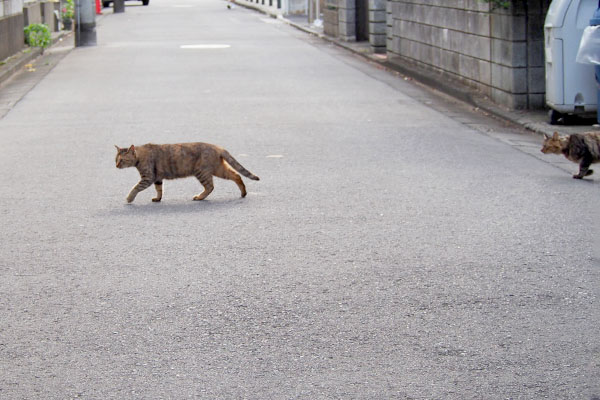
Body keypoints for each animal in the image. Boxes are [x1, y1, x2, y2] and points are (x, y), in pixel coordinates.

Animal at [115, 142, 260, 203]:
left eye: (122, 160)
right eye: (115, 159)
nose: (116, 166)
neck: (140, 156)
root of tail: (218, 147)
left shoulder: (148, 178)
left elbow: (135, 188)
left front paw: (129, 198)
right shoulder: (157, 178)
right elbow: (159, 190)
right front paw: (158, 198)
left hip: (202, 172)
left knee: (210, 186)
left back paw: (200, 197)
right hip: (218, 169)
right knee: (236, 175)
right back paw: (243, 193)